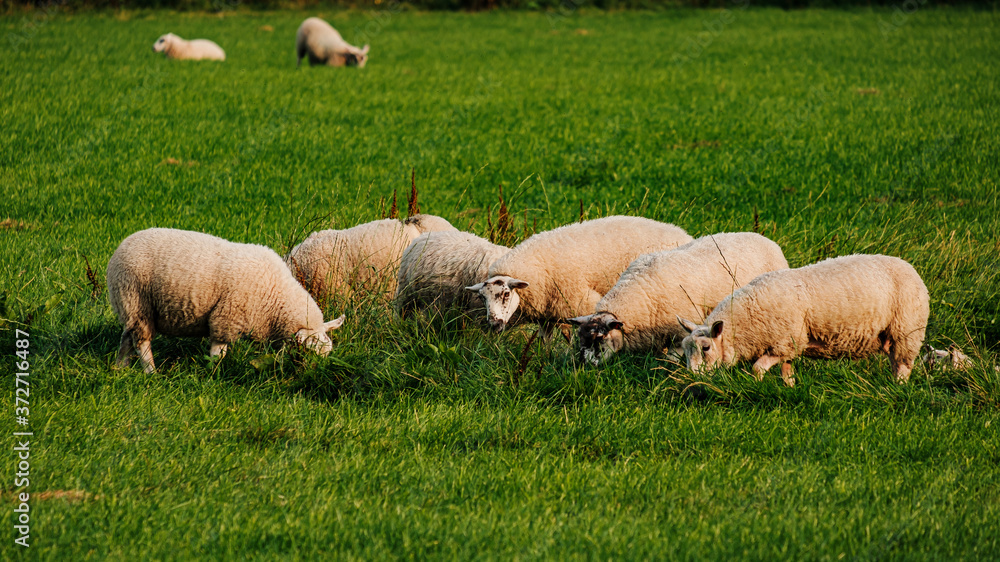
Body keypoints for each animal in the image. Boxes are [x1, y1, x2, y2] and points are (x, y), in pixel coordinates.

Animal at [107, 228, 345, 374]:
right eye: (308, 352)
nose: (317, 373)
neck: (276, 297)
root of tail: (122, 245)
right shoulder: (226, 319)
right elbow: (218, 353)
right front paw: (214, 374)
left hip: (130, 307)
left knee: (127, 338)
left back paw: (120, 369)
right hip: (136, 300)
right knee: (141, 342)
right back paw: (151, 372)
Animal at [466, 216, 694, 338]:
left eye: (505, 295)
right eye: (482, 298)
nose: (494, 325)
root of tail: (685, 235)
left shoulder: (578, 303)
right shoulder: (547, 314)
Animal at [569, 232, 789, 365]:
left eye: (600, 338)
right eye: (580, 337)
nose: (586, 365)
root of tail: (765, 238)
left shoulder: (679, 330)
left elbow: (672, 358)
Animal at [677, 254, 929, 387]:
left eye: (706, 348)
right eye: (685, 349)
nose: (693, 377)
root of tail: (910, 267)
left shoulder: (787, 341)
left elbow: (758, 368)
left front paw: (756, 386)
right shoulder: (788, 345)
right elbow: (787, 371)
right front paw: (789, 388)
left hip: (907, 329)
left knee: (904, 365)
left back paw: (898, 388)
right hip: (891, 335)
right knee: (896, 361)